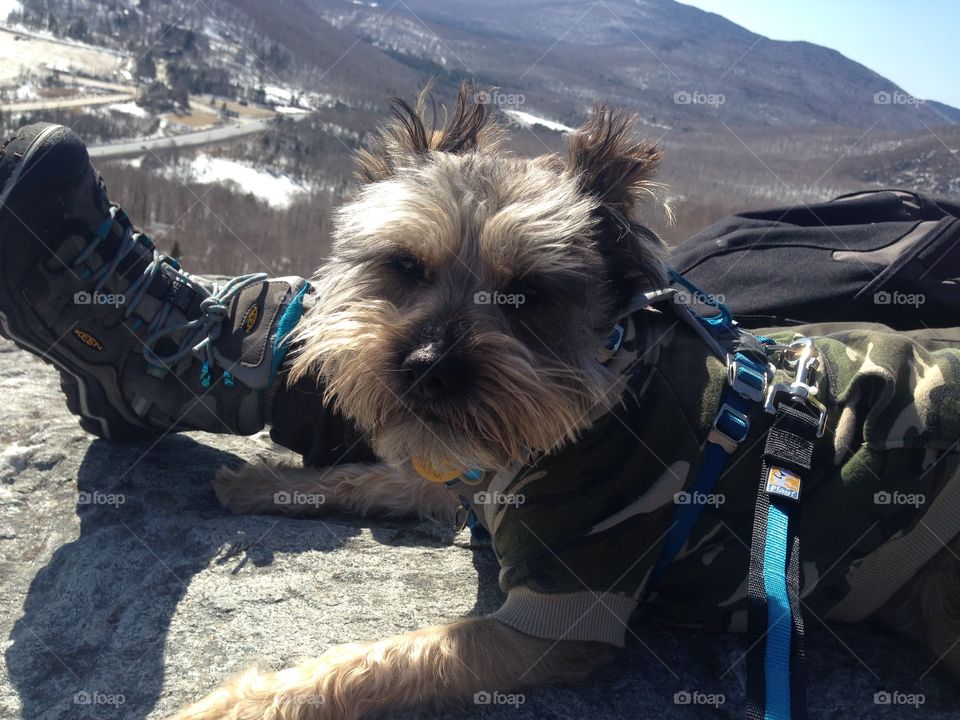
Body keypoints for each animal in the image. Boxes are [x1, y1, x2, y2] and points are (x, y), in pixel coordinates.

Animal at [171, 87, 960, 716]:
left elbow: (386, 661)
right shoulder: (465, 473)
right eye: (404, 267)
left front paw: (242, 703)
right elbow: (372, 476)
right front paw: (262, 482)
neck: (584, 408)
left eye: (528, 294)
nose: (427, 367)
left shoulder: (554, 617)